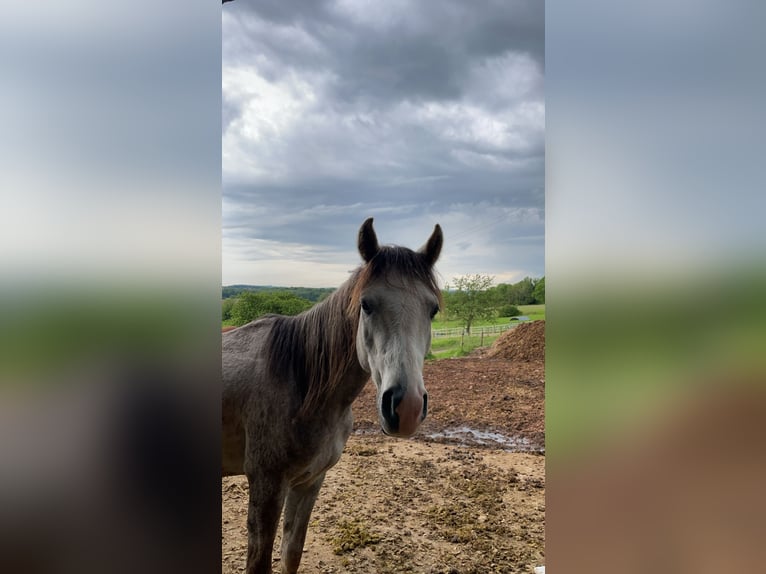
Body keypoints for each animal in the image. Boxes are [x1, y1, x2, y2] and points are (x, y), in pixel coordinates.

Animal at [222, 218, 444, 572]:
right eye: (366, 304)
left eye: (433, 309)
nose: (406, 408)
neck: (302, 386)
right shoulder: (265, 484)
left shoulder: (309, 481)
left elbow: (291, 554)